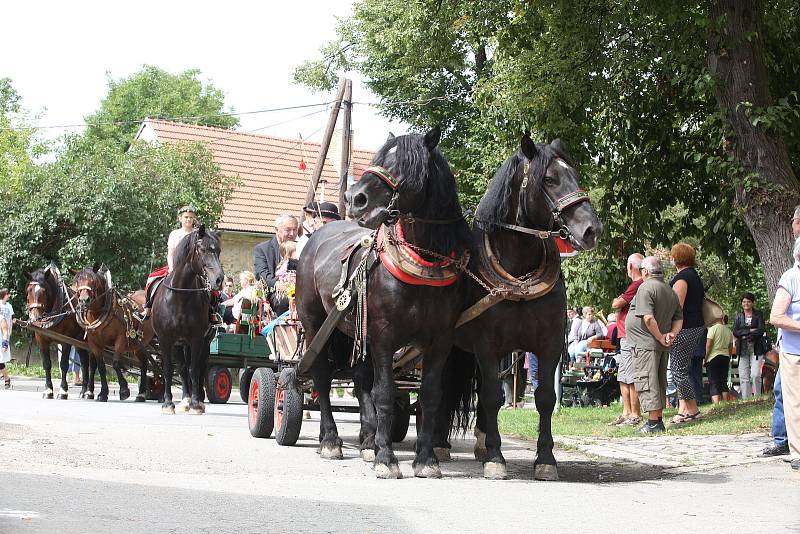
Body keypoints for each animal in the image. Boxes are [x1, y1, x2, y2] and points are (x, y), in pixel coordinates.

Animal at [25, 266, 96, 400]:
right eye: (28, 290)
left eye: (44, 291)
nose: (34, 318)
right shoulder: (41, 340)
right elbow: (46, 364)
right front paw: (48, 390)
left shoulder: (65, 341)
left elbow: (63, 365)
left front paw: (63, 391)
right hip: (79, 342)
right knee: (84, 362)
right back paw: (83, 391)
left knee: (93, 364)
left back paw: (89, 392)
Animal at [72, 266, 155, 404]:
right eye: (77, 281)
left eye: (93, 281)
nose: (84, 301)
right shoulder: (95, 344)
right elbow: (101, 367)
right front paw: (103, 394)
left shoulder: (121, 339)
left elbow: (116, 363)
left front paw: (124, 390)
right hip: (138, 344)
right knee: (144, 364)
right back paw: (141, 394)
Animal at [150, 225, 223, 414]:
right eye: (203, 249)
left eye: (218, 251)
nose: (219, 280)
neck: (180, 297)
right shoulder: (166, 339)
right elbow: (170, 369)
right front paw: (168, 403)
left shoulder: (197, 339)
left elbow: (195, 369)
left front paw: (196, 403)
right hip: (179, 344)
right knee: (183, 368)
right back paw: (185, 399)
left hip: (203, 343)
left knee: (200, 366)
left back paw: (197, 400)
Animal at [296, 130, 472, 482]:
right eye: (379, 158)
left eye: (404, 163)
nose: (355, 197)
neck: (423, 264)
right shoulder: (384, 338)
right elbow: (386, 394)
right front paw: (386, 458)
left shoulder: (440, 341)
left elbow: (429, 396)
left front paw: (425, 460)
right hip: (315, 324)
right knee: (322, 377)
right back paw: (330, 440)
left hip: (355, 330)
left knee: (361, 378)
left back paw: (366, 440)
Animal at [438, 135, 600, 482]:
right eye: (549, 180)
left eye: (576, 175)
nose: (592, 230)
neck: (519, 274)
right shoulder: (486, 346)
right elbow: (491, 396)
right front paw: (496, 459)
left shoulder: (548, 345)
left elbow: (544, 398)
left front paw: (546, 460)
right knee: (444, 386)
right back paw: (439, 443)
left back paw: (480, 441)